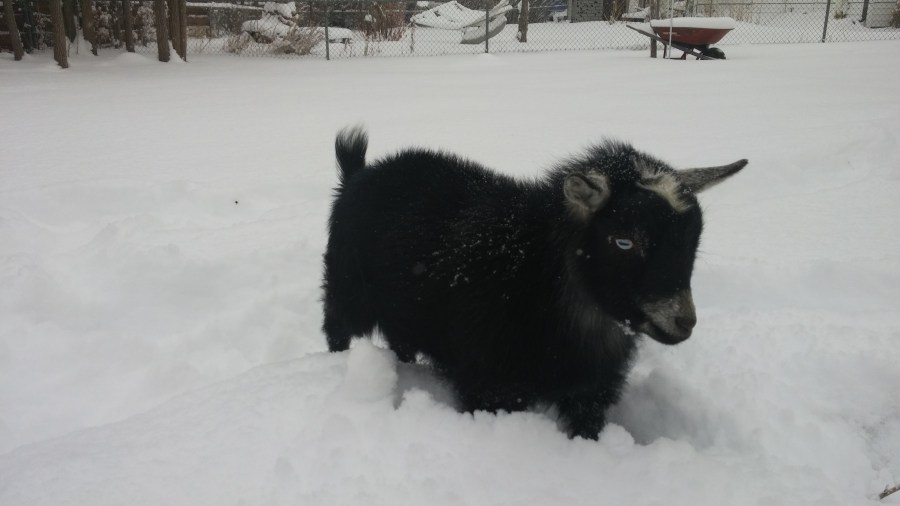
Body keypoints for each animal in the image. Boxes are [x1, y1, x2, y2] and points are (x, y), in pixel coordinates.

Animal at [324, 127, 744, 438]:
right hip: (346, 287)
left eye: (693, 241)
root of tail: (360, 173)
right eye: (624, 241)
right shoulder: (491, 386)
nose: (683, 321)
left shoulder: (590, 393)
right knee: (337, 329)